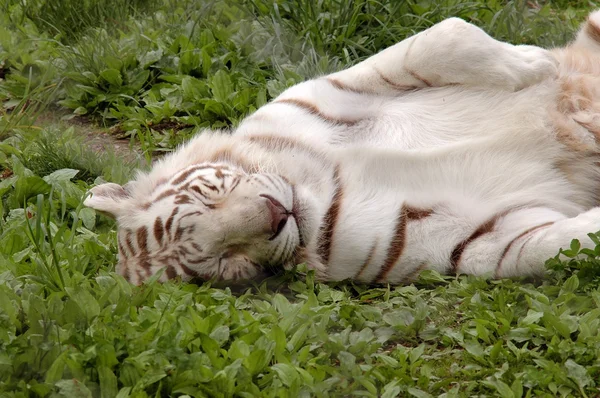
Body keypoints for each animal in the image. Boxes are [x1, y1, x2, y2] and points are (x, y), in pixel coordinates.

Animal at [85, 12, 600, 284]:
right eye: (225, 260)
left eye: (209, 196)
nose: (277, 216)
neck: (323, 184)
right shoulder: (473, 241)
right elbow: (554, 246)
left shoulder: (333, 92)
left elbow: (442, 38)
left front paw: (534, 63)